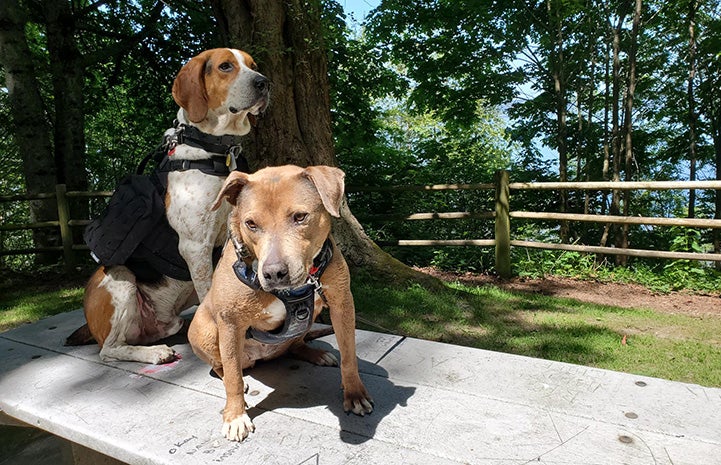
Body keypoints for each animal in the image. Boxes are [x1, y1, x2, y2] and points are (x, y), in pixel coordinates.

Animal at [188, 165, 374, 440]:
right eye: (251, 224)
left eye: (300, 217)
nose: (274, 273)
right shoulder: (230, 322)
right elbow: (232, 377)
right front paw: (235, 416)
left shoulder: (342, 304)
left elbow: (349, 355)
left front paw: (355, 394)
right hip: (205, 330)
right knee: (222, 366)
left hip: (309, 319)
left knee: (295, 344)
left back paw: (316, 354)